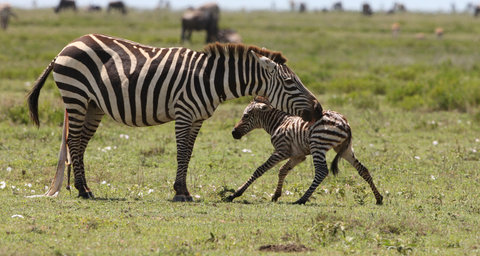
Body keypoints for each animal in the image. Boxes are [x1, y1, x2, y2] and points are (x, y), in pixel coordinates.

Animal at [26, 34, 320, 202]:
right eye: (291, 83)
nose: (318, 110)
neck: (210, 80)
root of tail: (66, 46)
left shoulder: (198, 118)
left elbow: (188, 153)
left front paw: (184, 189)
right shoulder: (183, 113)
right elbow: (180, 153)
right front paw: (180, 192)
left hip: (92, 105)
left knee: (81, 144)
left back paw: (83, 188)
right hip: (75, 96)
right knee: (74, 142)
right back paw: (83, 190)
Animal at [228, 97, 382, 205]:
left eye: (246, 115)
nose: (234, 133)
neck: (279, 123)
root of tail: (345, 123)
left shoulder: (281, 150)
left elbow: (260, 170)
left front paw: (236, 193)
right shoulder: (298, 155)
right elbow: (283, 170)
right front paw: (276, 195)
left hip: (318, 145)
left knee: (321, 171)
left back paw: (301, 199)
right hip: (345, 149)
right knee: (363, 169)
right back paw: (378, 198)